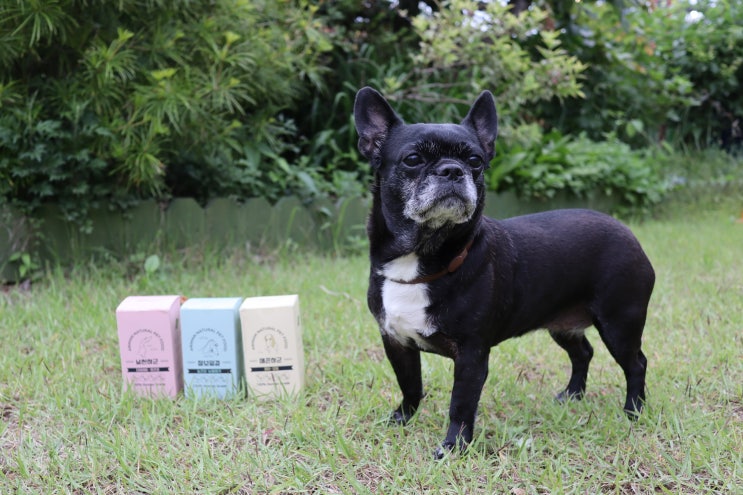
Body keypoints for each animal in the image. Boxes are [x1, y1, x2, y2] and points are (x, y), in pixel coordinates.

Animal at [354, 86, 656, 462]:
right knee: (582, 353)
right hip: (563, 324)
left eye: (475, 161)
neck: (423, 257)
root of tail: (630, 234)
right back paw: (572, 396)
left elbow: (461, 405)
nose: (452, 171)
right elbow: (410, 384)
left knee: (636, 364)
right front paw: (401, 419)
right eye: (412, 159)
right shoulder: (396, 341)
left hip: (619, 323)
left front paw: (453, 447)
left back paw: (633, 411)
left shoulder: (471, 355)